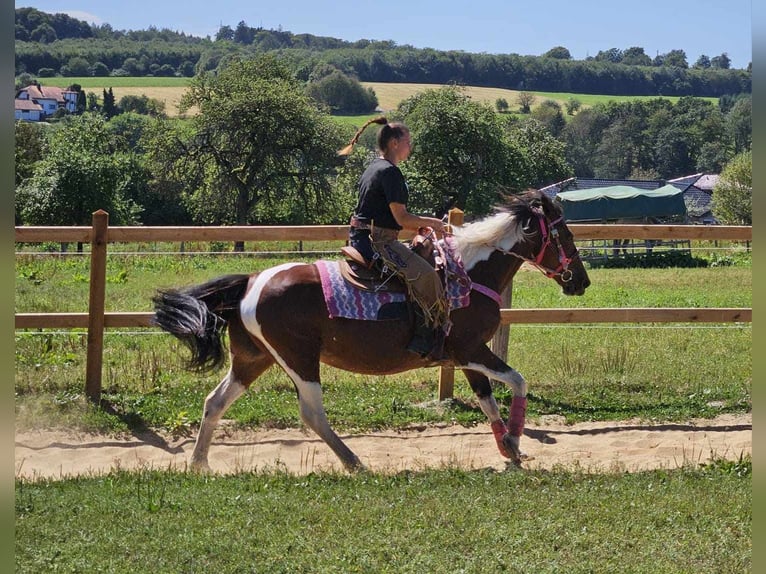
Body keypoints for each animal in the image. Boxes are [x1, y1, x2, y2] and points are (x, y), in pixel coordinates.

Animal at [153, 191, 592, 474]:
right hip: (299, 359)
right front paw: (516, 441)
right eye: (566, 235)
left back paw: (199, 463)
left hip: (253, 359)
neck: (467, 274)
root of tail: (250, 282)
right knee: (311, 413)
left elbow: (487, 399)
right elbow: (517, 381)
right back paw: (353, 462)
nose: (581, 281)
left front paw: (508, 448)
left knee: (214, 402)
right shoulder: (470, 349)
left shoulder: (466, 355)